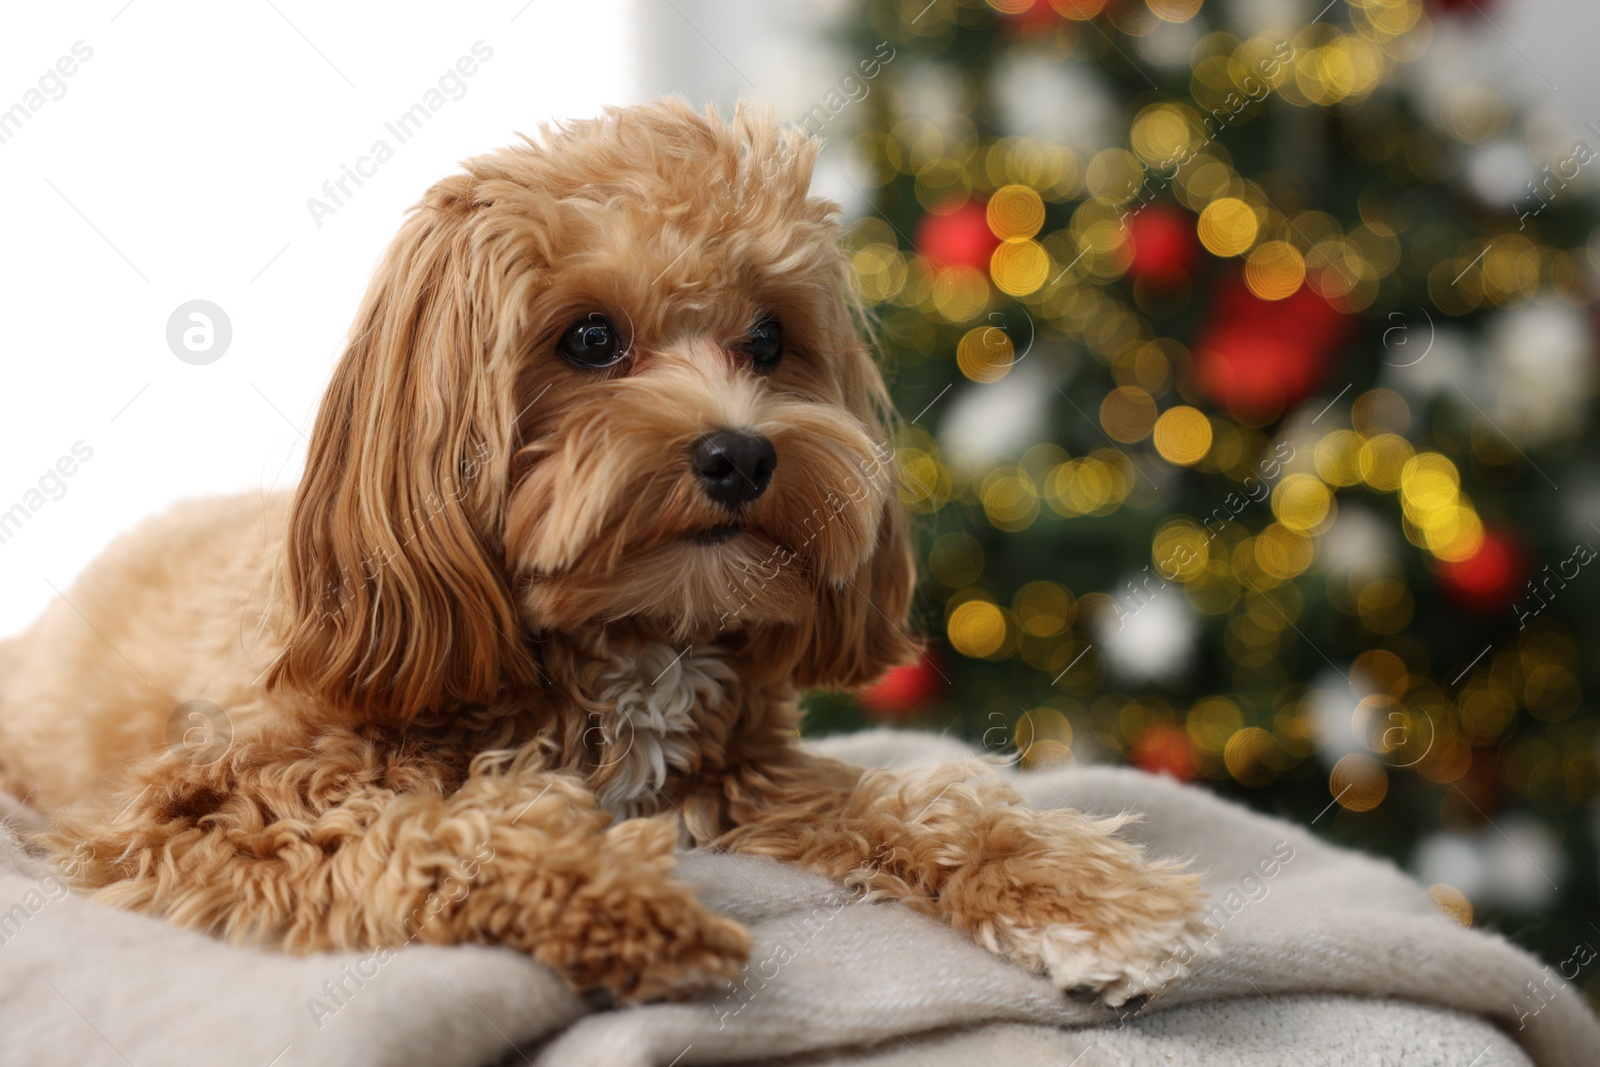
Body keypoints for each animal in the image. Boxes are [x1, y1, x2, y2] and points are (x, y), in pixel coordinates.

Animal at [0, 99, 1203, 1011]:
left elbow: (928, 796)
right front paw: (623, 902)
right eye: (588, 338)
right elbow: (429, 827)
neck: (622, 637)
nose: (740, 453)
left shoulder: (745, 774)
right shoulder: (203, 810)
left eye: (769, 339)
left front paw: (1092, 898)